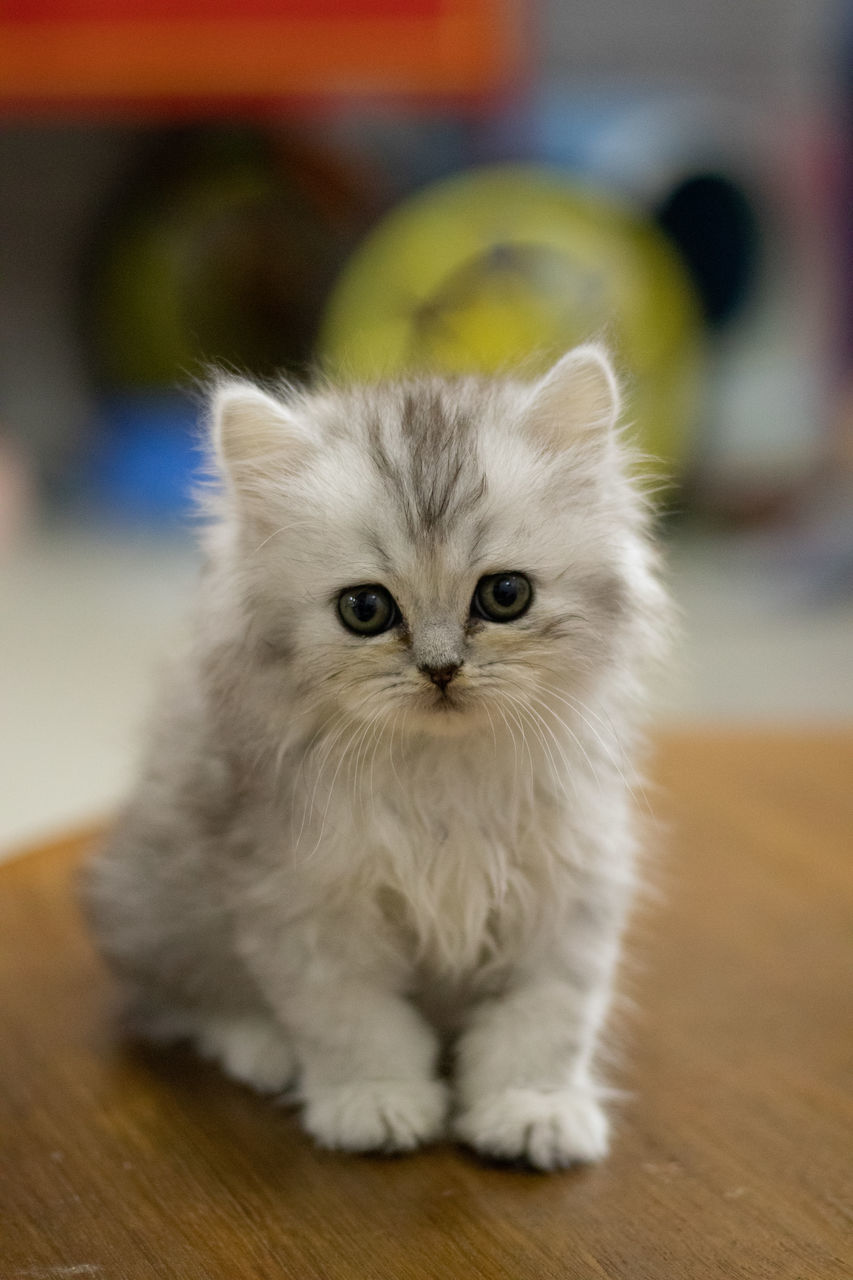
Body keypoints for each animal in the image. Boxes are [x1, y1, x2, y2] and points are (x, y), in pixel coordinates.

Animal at [87, 343, 671, 1172]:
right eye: (365, 611)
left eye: (505, 596)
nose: (440, 669)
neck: (442, 775)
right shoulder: (304, 906)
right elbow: (355, 1025)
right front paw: (376, 1104)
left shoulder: (567, 891)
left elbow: (543, 1025)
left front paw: (533, 1111)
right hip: (155, 904)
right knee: (175, 1003)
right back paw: (261, 1049)